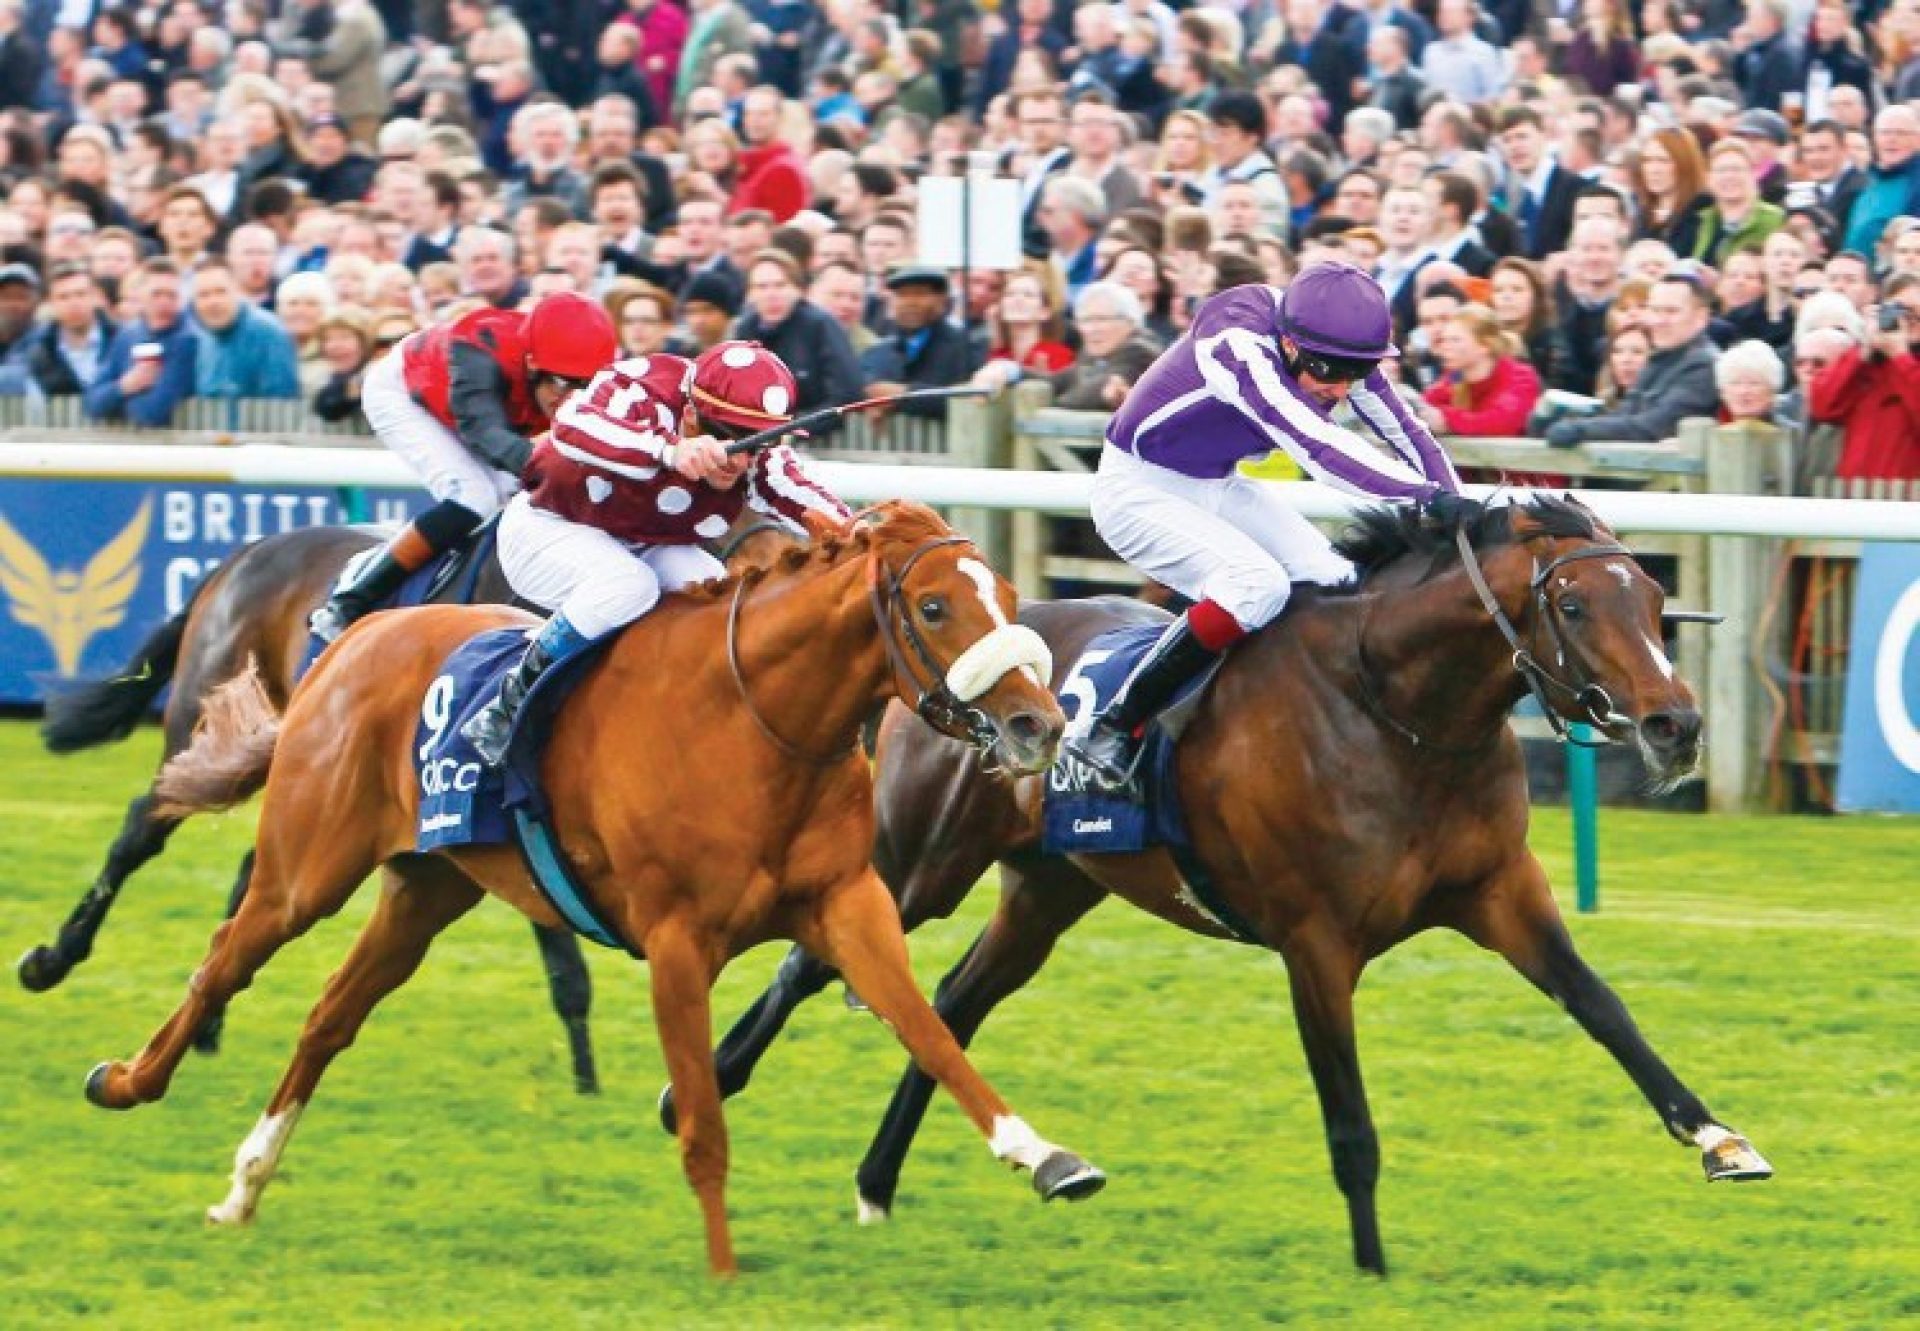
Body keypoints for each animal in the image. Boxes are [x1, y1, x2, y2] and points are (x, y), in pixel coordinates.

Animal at [13, 518, 599, 1090]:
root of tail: (243, 554)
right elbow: (558, 941)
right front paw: (585, 1067)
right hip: (207, 723)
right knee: (143, 830)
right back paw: (52, 961)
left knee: (249, 875)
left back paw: (206, 1021)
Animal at [93, 503, 1113, 1275]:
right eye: (935, 606)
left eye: (1009, 598)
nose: (1039, 723)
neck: (757, 721)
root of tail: (355, 634)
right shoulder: (677, 942)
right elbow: (701, 1118)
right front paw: (723, 1268)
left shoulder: (848, 904)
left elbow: (931, 1030)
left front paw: (1046, 1157)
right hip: (306, 864)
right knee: (223, 960)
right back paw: (128, 1080)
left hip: (425, 889)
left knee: (328, 1018)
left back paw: (244, 1184)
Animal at [672, 491, 1766, 1275]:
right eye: (1574, 604)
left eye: (1655, 603)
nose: (1676, 725)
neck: (1397, 713)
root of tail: (956, 648)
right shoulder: (1315, 939)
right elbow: (1349, 1118)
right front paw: (1372, 1268)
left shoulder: (1501, 892)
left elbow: (1605, 1008)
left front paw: (1721, 1139)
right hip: (920, 861)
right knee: (820, 963)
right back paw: (701, 1088)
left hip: (1049, 889)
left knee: (949, 1002)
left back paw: (883, 1180)